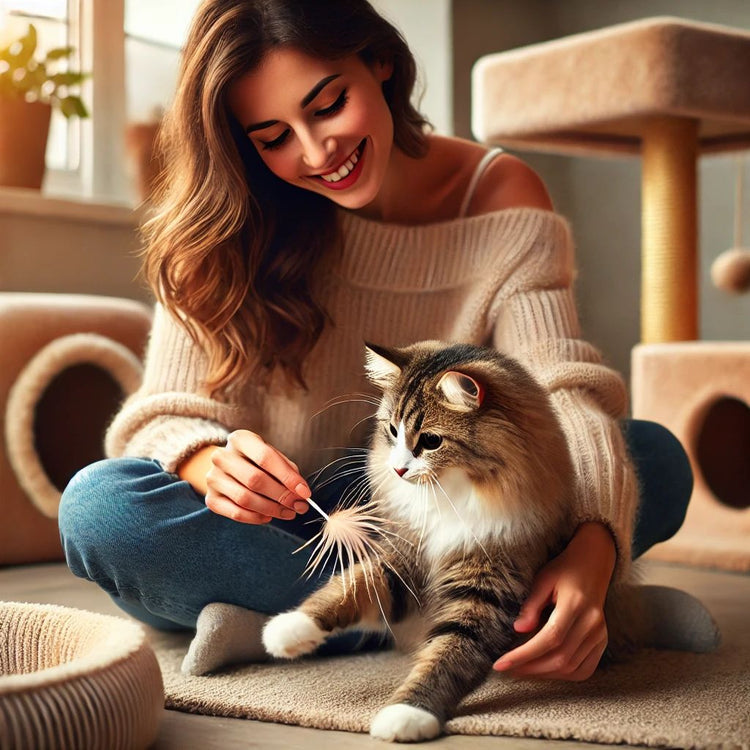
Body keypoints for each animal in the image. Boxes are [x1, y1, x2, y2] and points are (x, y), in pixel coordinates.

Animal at [262, 344, 636, 744]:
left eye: (430, 441)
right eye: (392, 431)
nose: (397, 470)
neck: (450, 496)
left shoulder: (487, 591)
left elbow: (448, 655)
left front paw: (407, 714)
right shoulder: (404, 559)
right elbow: (350, 588)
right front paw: (289, 630)